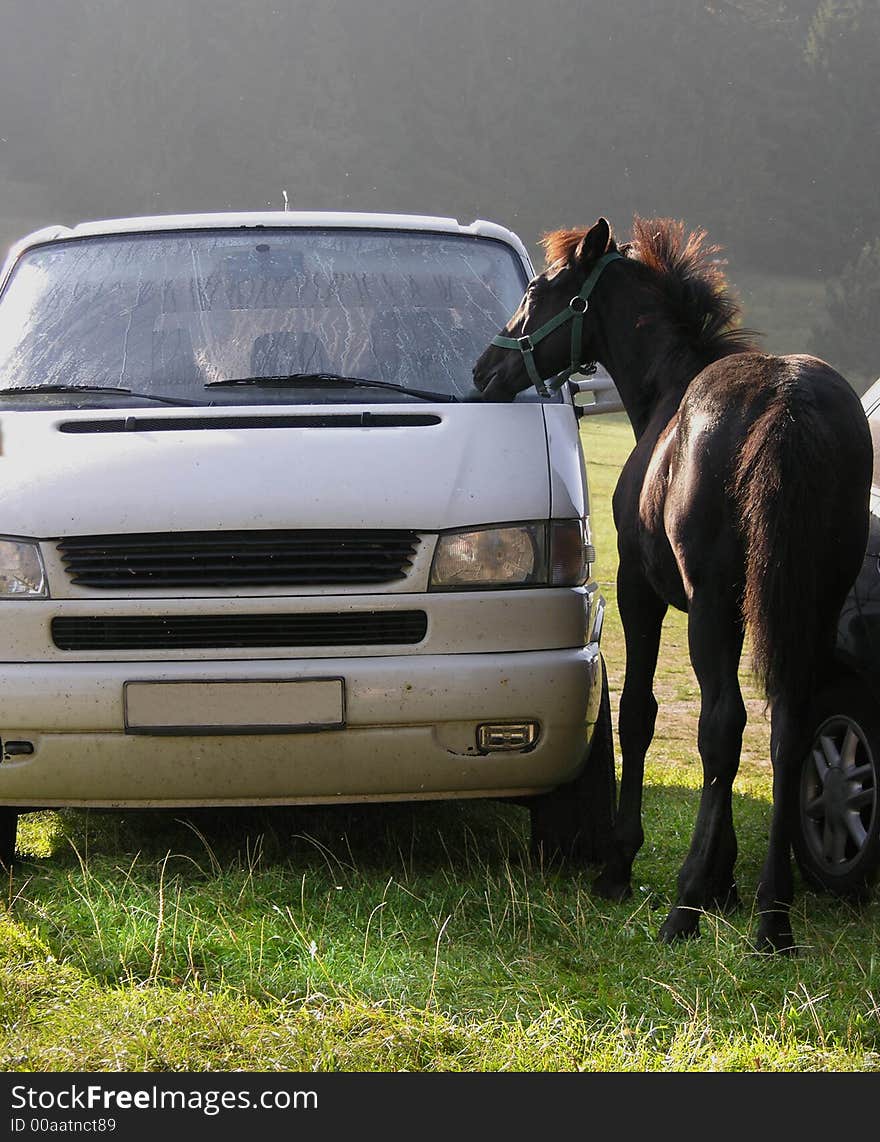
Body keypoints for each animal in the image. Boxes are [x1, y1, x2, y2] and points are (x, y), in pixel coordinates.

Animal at [474, 218, 872, 950]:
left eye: (539, 293)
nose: (484, 370)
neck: (670, 391)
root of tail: (789, 403)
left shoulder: (644, 593)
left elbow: (639, 713)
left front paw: (624, 867)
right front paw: (727, 881)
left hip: (711, 607)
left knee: (724, 724)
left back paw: (686, 904)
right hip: (808, 603)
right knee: (787, 726)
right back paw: (773, 913)